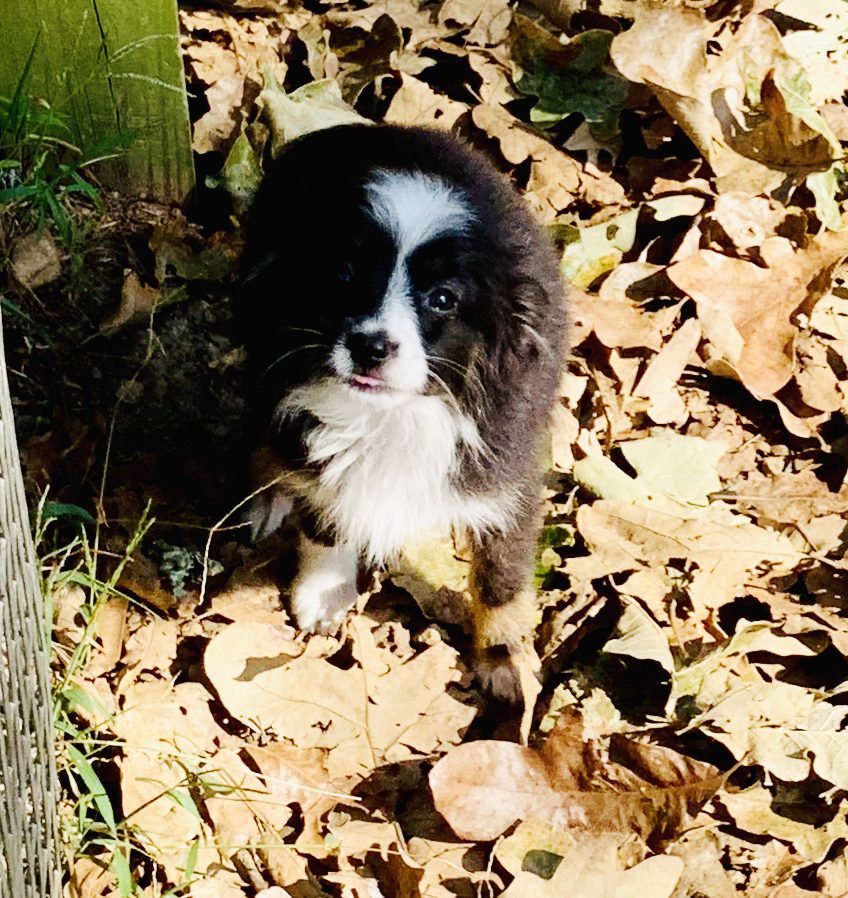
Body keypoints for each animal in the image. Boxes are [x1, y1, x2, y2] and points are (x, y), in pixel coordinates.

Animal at [238, 124, 568, 700]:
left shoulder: (508, 478)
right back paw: (268, 494)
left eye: (442, 299)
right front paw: (323, 593)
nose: (370, 347)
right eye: (343, 275)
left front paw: (503, 658)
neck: (394, 415)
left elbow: (502, 577)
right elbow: (327, 516)